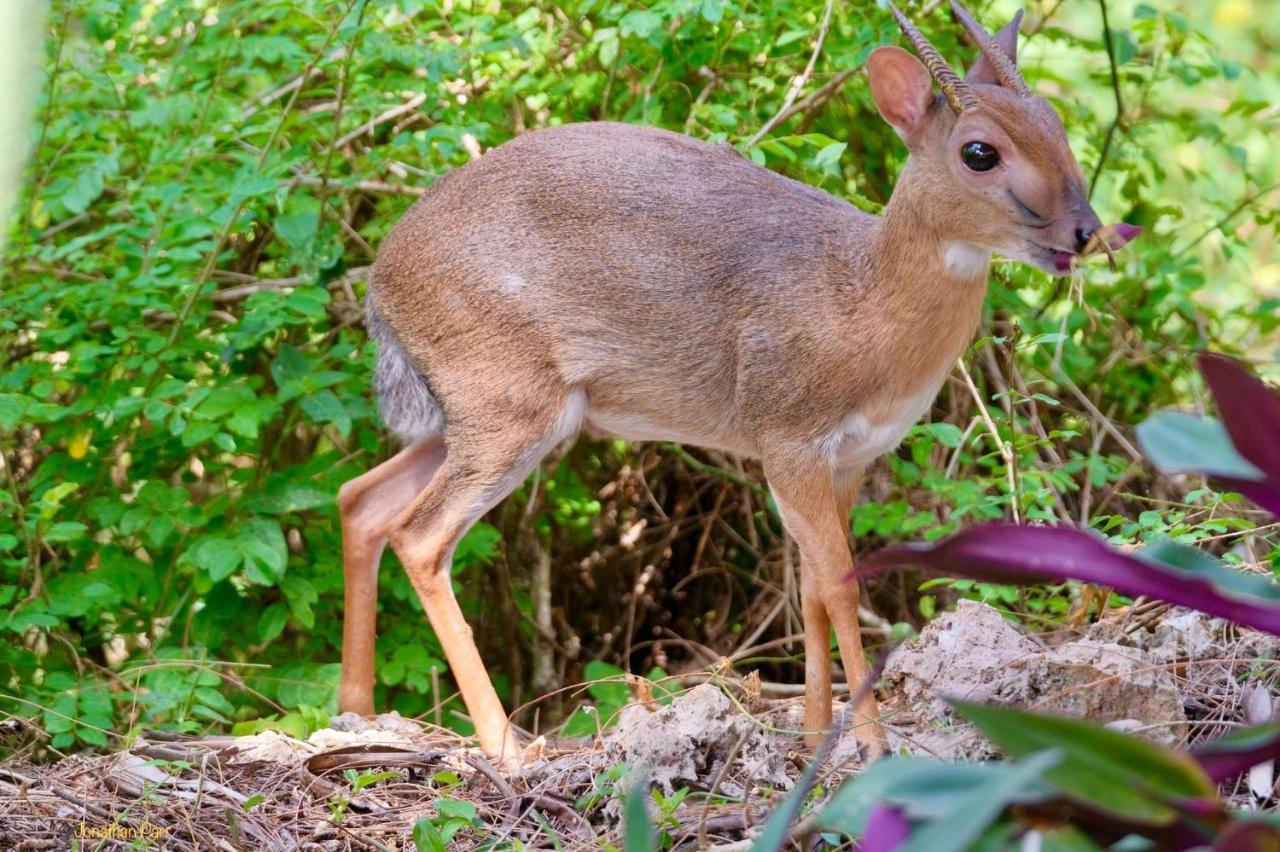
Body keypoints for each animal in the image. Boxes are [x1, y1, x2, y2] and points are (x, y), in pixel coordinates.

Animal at [335, 1, 1136, 767]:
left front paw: (813, 736)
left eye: (1056, 125)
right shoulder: (789, 440)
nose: (1084, 232)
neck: (860, 297)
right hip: (509, 407)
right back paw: (506, 747)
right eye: (979, 151)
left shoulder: (846, 459)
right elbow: (840, 585)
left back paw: (359, 715)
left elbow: (812, 590)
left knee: (361, 500)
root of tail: (381, 283)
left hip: (479, 415)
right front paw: (869, 743)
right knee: (420, 537)